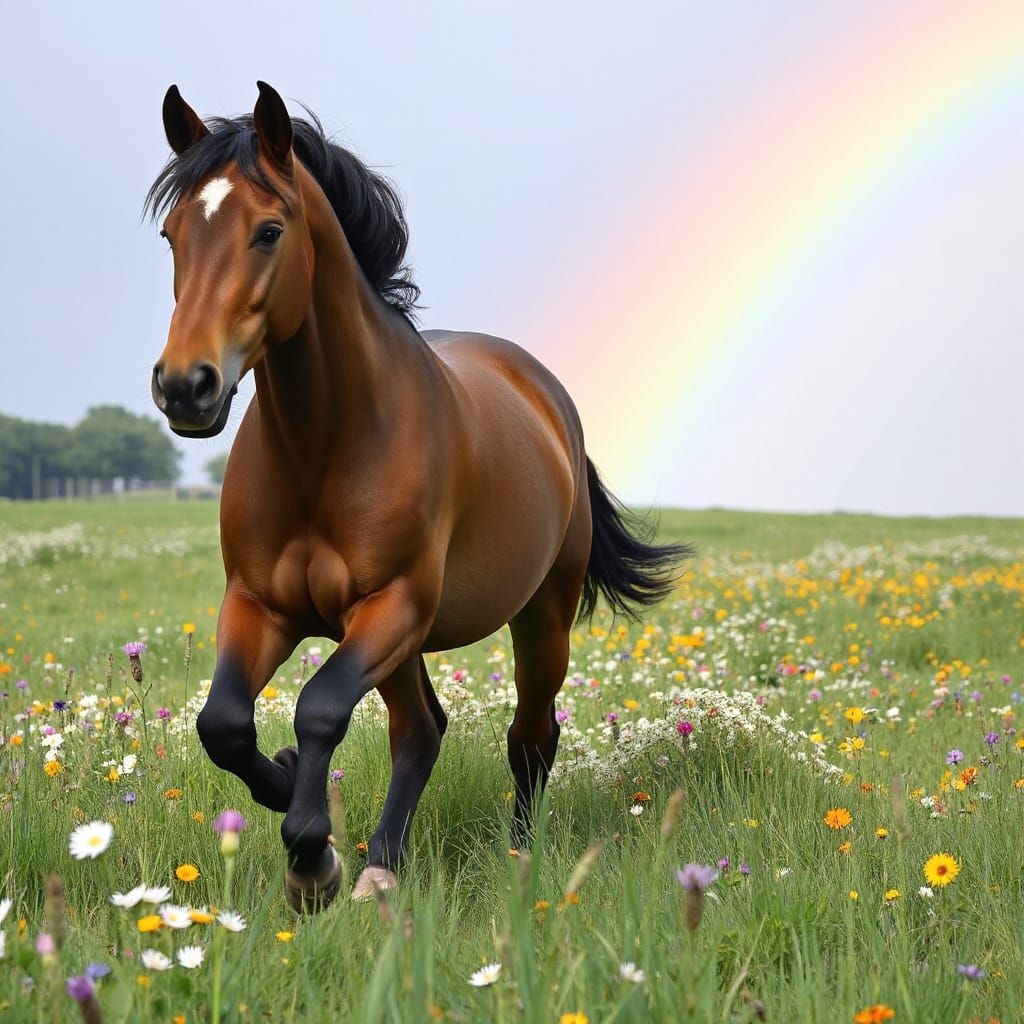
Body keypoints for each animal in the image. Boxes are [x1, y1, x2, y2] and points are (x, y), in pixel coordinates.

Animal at [147, 82, 688, 912]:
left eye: (269, 231)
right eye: (173, 235)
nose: (185, 387)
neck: (325, 447)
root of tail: (547, 396)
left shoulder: (392, 602)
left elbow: (319, 708)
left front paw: (312, 855)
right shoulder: (259, 605)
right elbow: (225, 725)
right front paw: (293, 802)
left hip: (538, 615)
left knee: (529, 736)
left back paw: (512, 856)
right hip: (400, 640)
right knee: (422, 728)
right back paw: (382, 860)